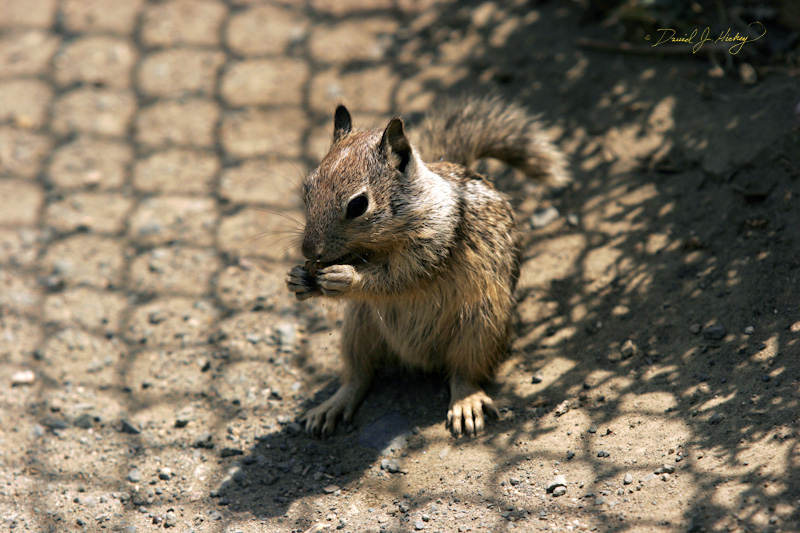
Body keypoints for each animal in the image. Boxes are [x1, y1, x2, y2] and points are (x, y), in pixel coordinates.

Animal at [286, 95, 570, 437]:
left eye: (358, 205)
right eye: (307, 188)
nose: (308, 250)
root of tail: (420, 361)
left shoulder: (433, 243)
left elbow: (398, 277)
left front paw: (346, 277)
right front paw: (298, 279)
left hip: (480, 325)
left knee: (464, 373)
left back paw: (465, 403)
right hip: (359, 328)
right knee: (359, 375)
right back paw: (333, 405)